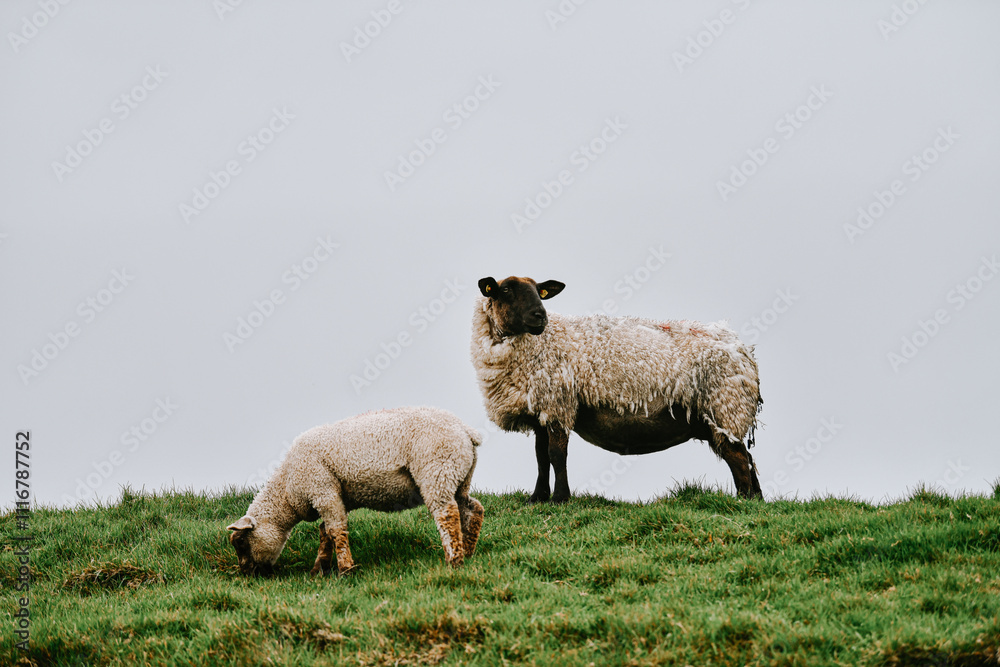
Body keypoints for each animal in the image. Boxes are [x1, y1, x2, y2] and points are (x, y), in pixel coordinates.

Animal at [227, 406, 484, 576]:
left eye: (241, 542)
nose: (246, 573)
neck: (287, 490)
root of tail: (465, 430)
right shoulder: (333, 497)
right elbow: (325, 532)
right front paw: (319, 570)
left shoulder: (322, 489)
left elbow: (336, 531)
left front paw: (346, 570)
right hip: (459, 475)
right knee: (472, 508)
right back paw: (468, 551)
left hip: (437, 470)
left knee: (446, 513)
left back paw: (454, 560)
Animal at [470, 275, 763, 503]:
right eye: (506, 290)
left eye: (539, 292)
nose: (540, 316)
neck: (540, 343)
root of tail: (744, 351)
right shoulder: (542, 410)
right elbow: (541, 457)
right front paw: (537, 498)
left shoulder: (559, 404)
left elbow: (556, 454)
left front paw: (560, 499)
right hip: (719, 414)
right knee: (747, 458)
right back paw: (757, 501)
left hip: (726, 406)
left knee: (739, 458)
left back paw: (744, 501)